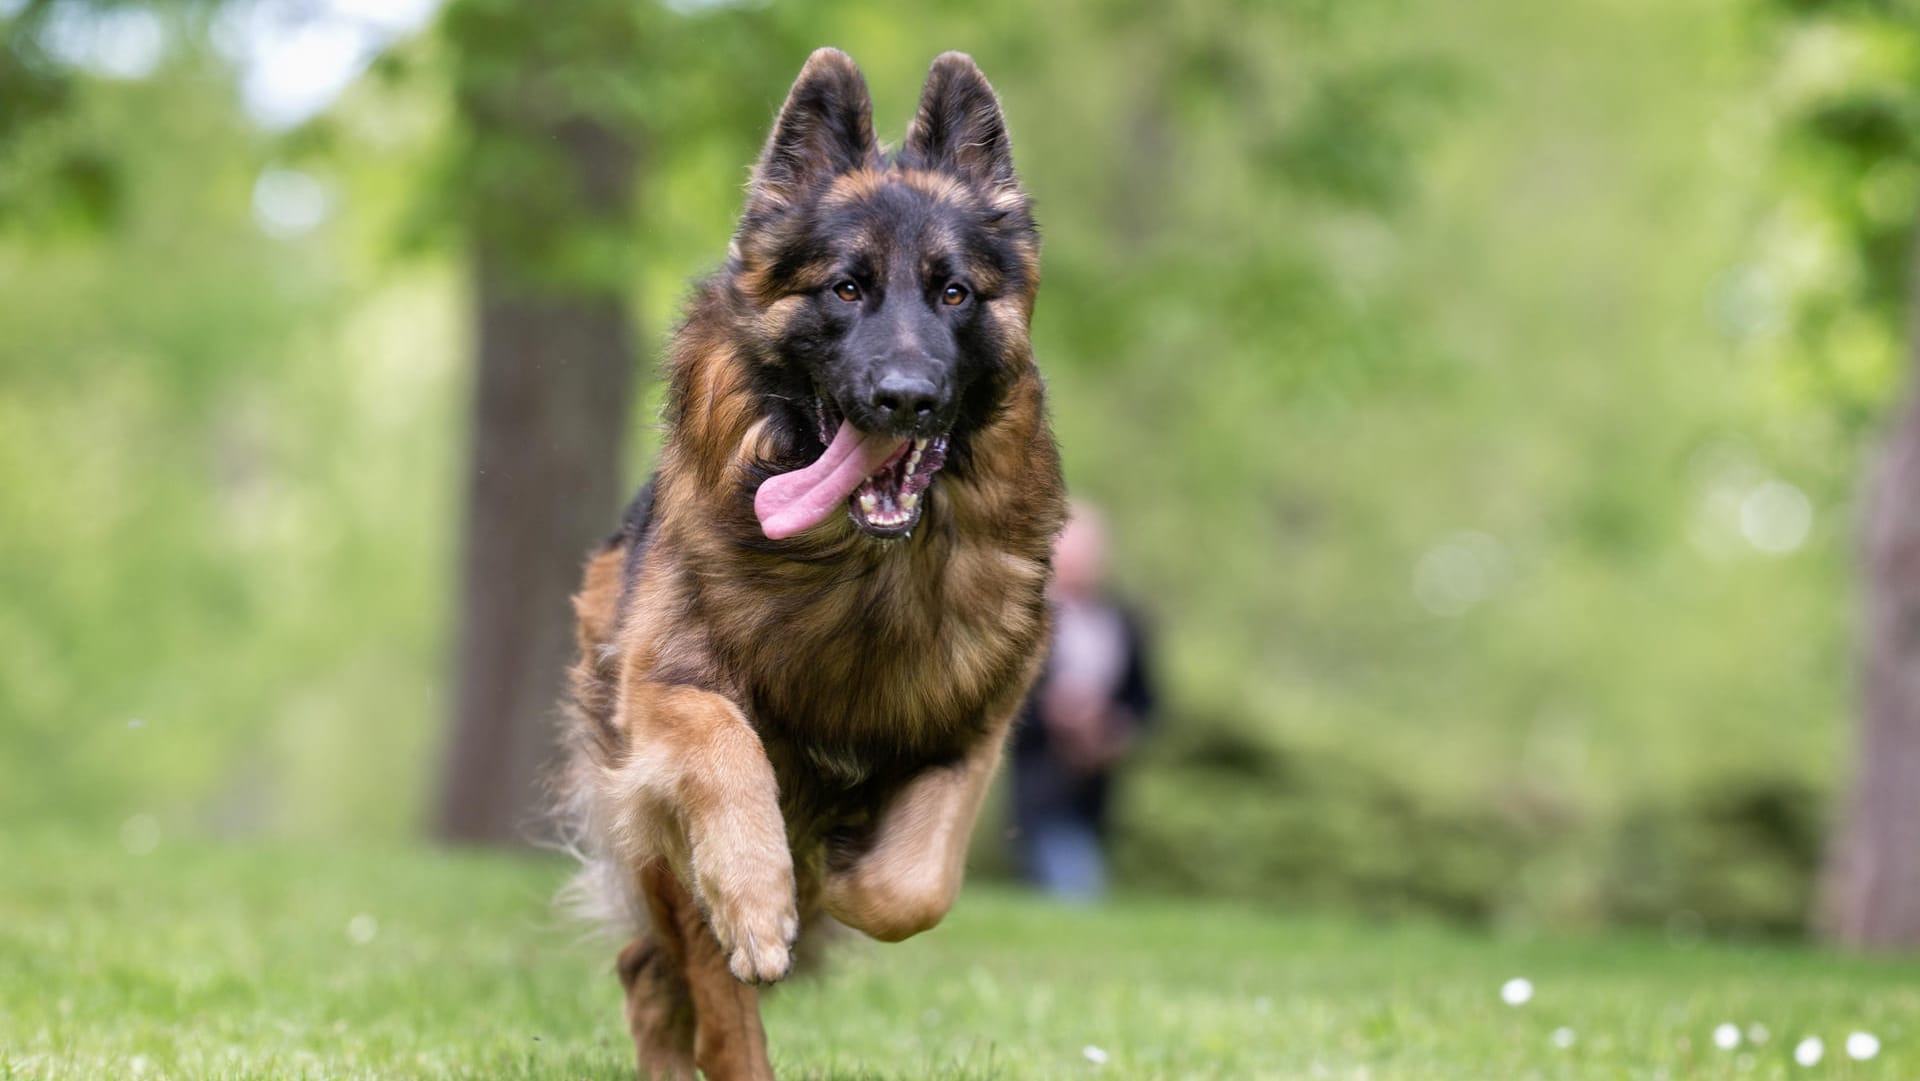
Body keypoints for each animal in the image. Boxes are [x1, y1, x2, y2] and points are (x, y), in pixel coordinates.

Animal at [560, 46, 1067, 1075]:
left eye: (954, 292)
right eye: (846, 288)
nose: (905, 398)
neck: (857, 573)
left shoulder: (973, 725)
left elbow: (914, 885)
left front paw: (835, 873)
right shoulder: (664, 690)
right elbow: (728, 749)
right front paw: (762, 894)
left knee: (657, 970)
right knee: (683, 974)